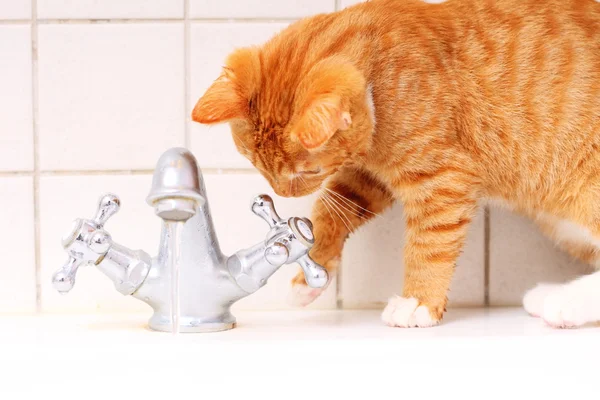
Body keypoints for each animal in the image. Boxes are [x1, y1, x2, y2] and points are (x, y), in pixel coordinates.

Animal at [191, 0, 600, 328]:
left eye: (308, 172)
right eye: (254, 162)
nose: (280, 192)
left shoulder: (442, 180)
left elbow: (429, 244)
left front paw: (418, 300)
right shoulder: (368, 177)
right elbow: (329, 211)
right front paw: (310, 274)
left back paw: (564, 302)